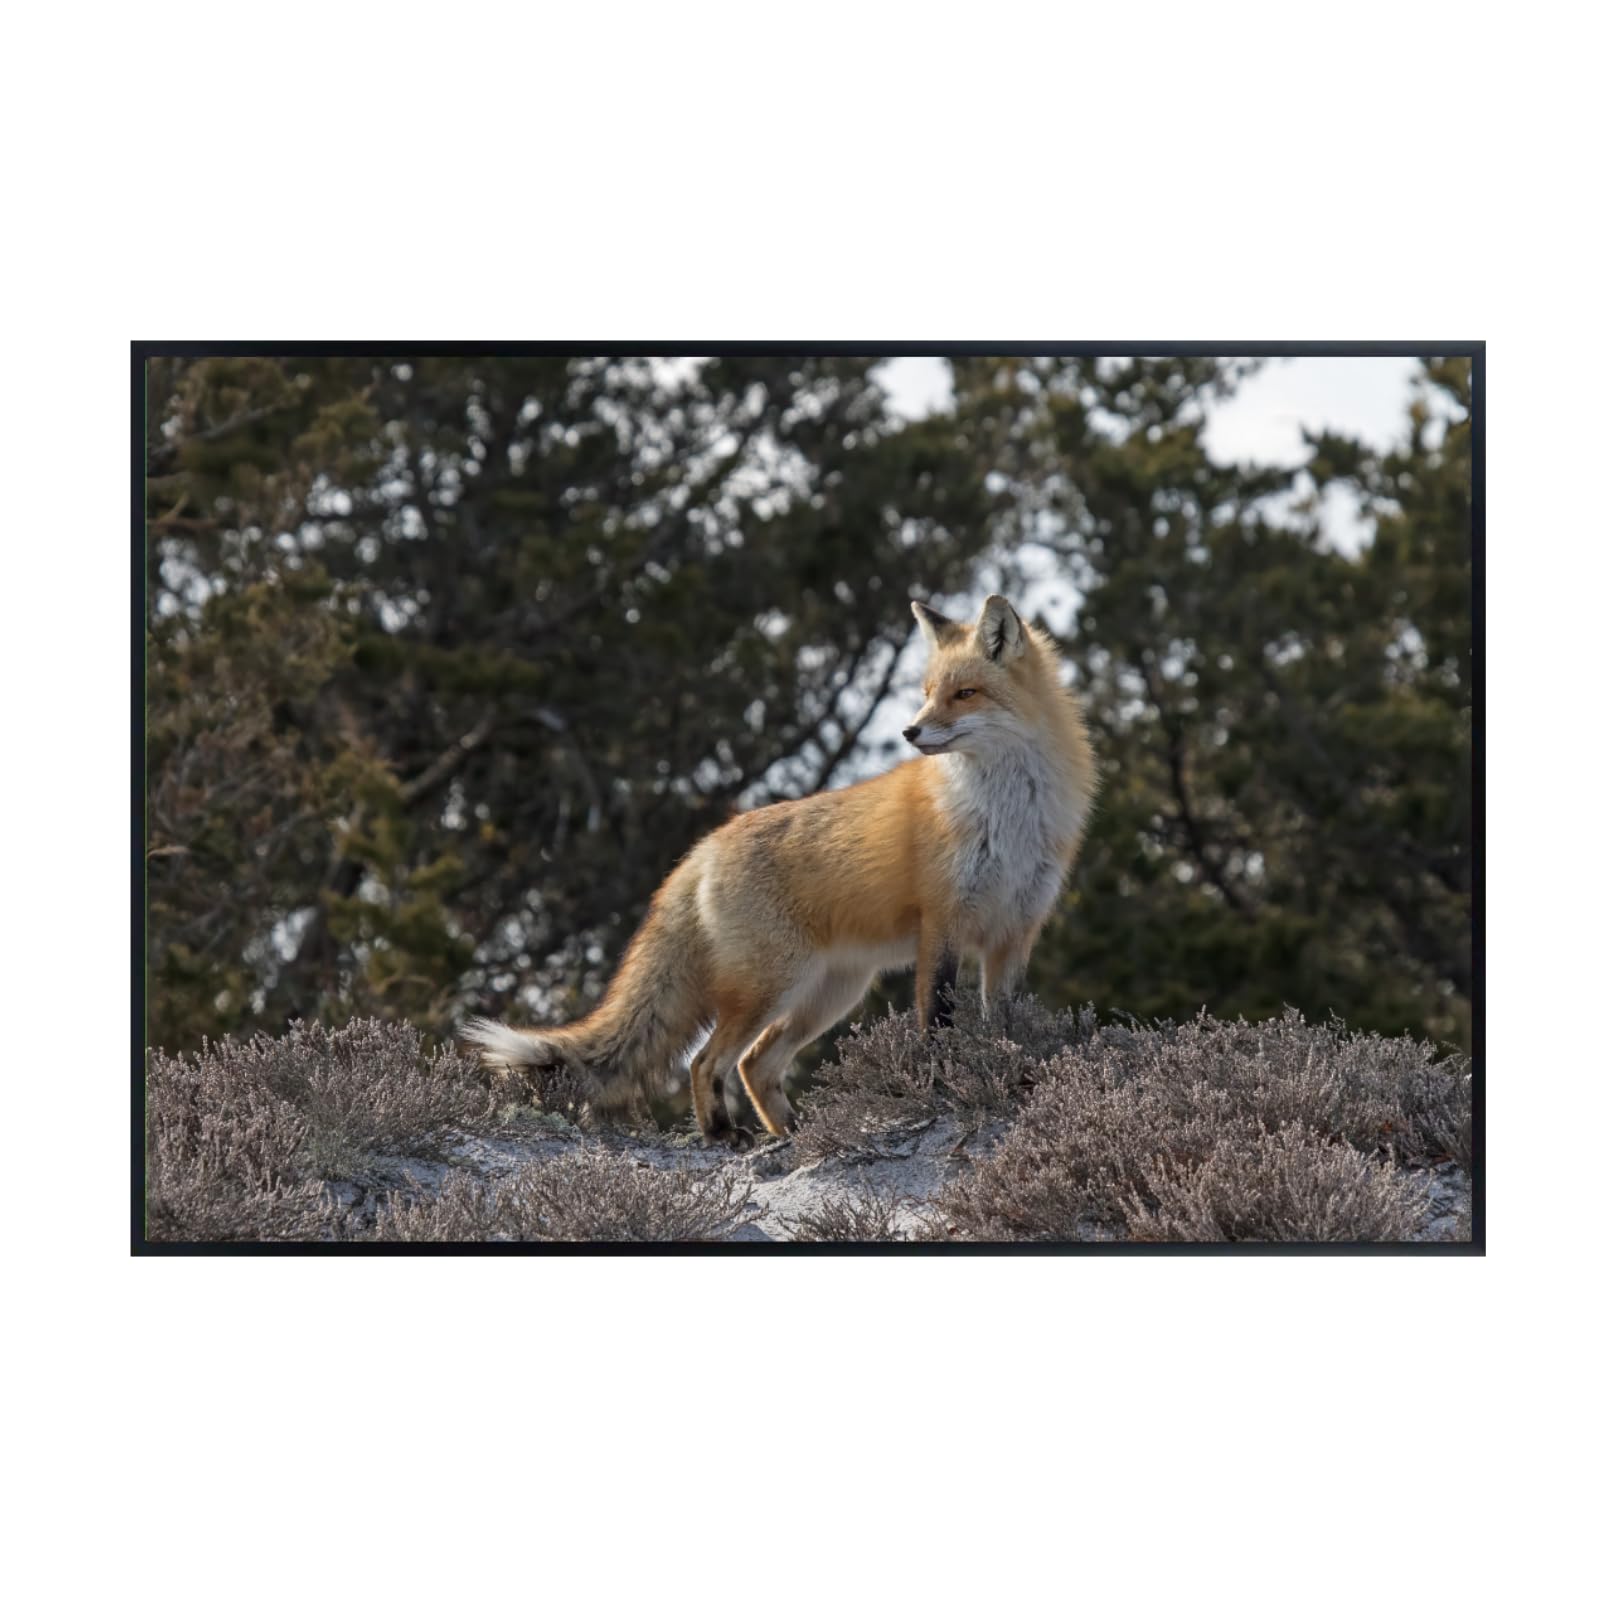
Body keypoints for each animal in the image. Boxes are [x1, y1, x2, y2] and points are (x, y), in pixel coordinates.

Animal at [463, 594, 1097, 1143]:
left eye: (965, 693)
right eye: (925, 693)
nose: (909, 731)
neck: (1006, 816)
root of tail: (702, 849)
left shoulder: (1014, 932)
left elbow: (1007, 1028)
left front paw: (1010, 1081)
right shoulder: (943, 924)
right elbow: (937, 1024)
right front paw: (941, 1088)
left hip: (830, 992)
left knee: (755, 1064)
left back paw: (794, 1135)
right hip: (775, 984)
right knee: (708, 1061)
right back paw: (724, 1135)